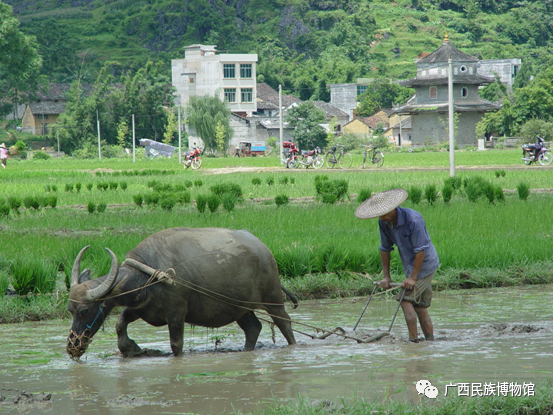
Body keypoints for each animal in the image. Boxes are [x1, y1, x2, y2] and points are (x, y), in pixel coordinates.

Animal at [66, 228, 296, 358]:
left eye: (85, 311)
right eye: (70, 310)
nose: (72, 345)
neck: (149, 275)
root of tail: (264, 250)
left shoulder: (176, 314)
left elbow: (176, 345)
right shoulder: (140, 308)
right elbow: (120, 324)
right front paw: (131, 348)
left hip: (273, 298)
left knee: (284, 322)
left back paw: (293, 346)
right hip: (241, 308)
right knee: (253, 328)